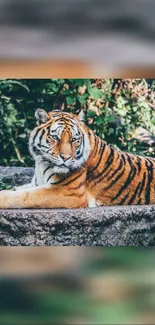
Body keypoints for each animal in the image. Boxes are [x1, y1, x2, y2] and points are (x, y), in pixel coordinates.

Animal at [0, 107, 155, 208]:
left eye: (74, 139)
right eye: (55, 138)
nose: (66, 158)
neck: (42, 163)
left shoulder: (68, 192)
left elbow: (25, 196)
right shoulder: (36, 184)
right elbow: (18, 189)